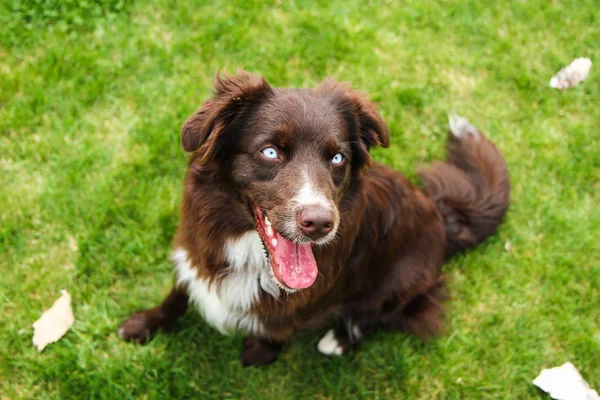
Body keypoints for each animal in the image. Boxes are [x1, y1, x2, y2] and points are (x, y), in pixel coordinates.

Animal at [119, 71, 508, 366]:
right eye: (270, 152)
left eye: (337, 158)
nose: (320, 223)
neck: (249, 253)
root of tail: (442, 215)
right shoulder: (196, 253)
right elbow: (177, 294)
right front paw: (144, 323)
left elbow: (280, 326)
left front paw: (262, 351)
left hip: (402, 281)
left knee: (380, 313)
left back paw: (339, 338)